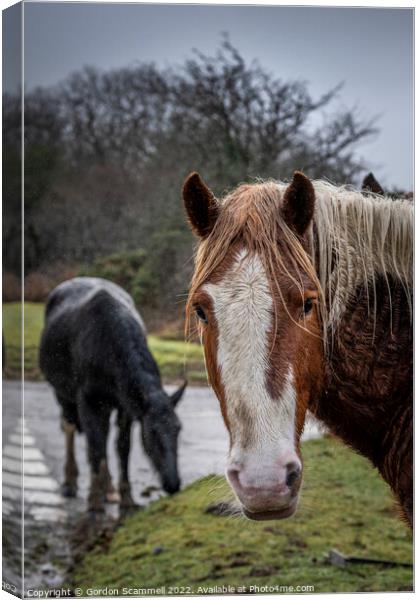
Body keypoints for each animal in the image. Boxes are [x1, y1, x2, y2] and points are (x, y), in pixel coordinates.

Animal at [39, 278, 185, 510]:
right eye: (151, 432)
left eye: (178, 429)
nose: (173, 483)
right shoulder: (86, 398)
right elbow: (95, 447)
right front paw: (94, 503)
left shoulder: (126, 405)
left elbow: (122, 447)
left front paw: (127, 498)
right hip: (62, 392)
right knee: (70, 427)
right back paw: (71, 482)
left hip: (104, 405)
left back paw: (108, 489)